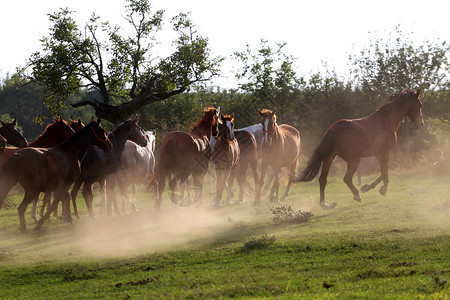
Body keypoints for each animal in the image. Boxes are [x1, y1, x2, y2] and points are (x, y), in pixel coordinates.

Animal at [294, 88, 424, 209]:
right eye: (420, 104)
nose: (421, 124)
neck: (387, 120)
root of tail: (334, 129)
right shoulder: (385, 152)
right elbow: (385, 171)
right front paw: (380, 189)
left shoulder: (378, 154)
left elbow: (385, 170)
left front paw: (369, 187)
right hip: (354, 160)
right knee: (346, 178)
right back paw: (357, 195)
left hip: (330, 158)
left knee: (322, 179)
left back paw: (325, 204)